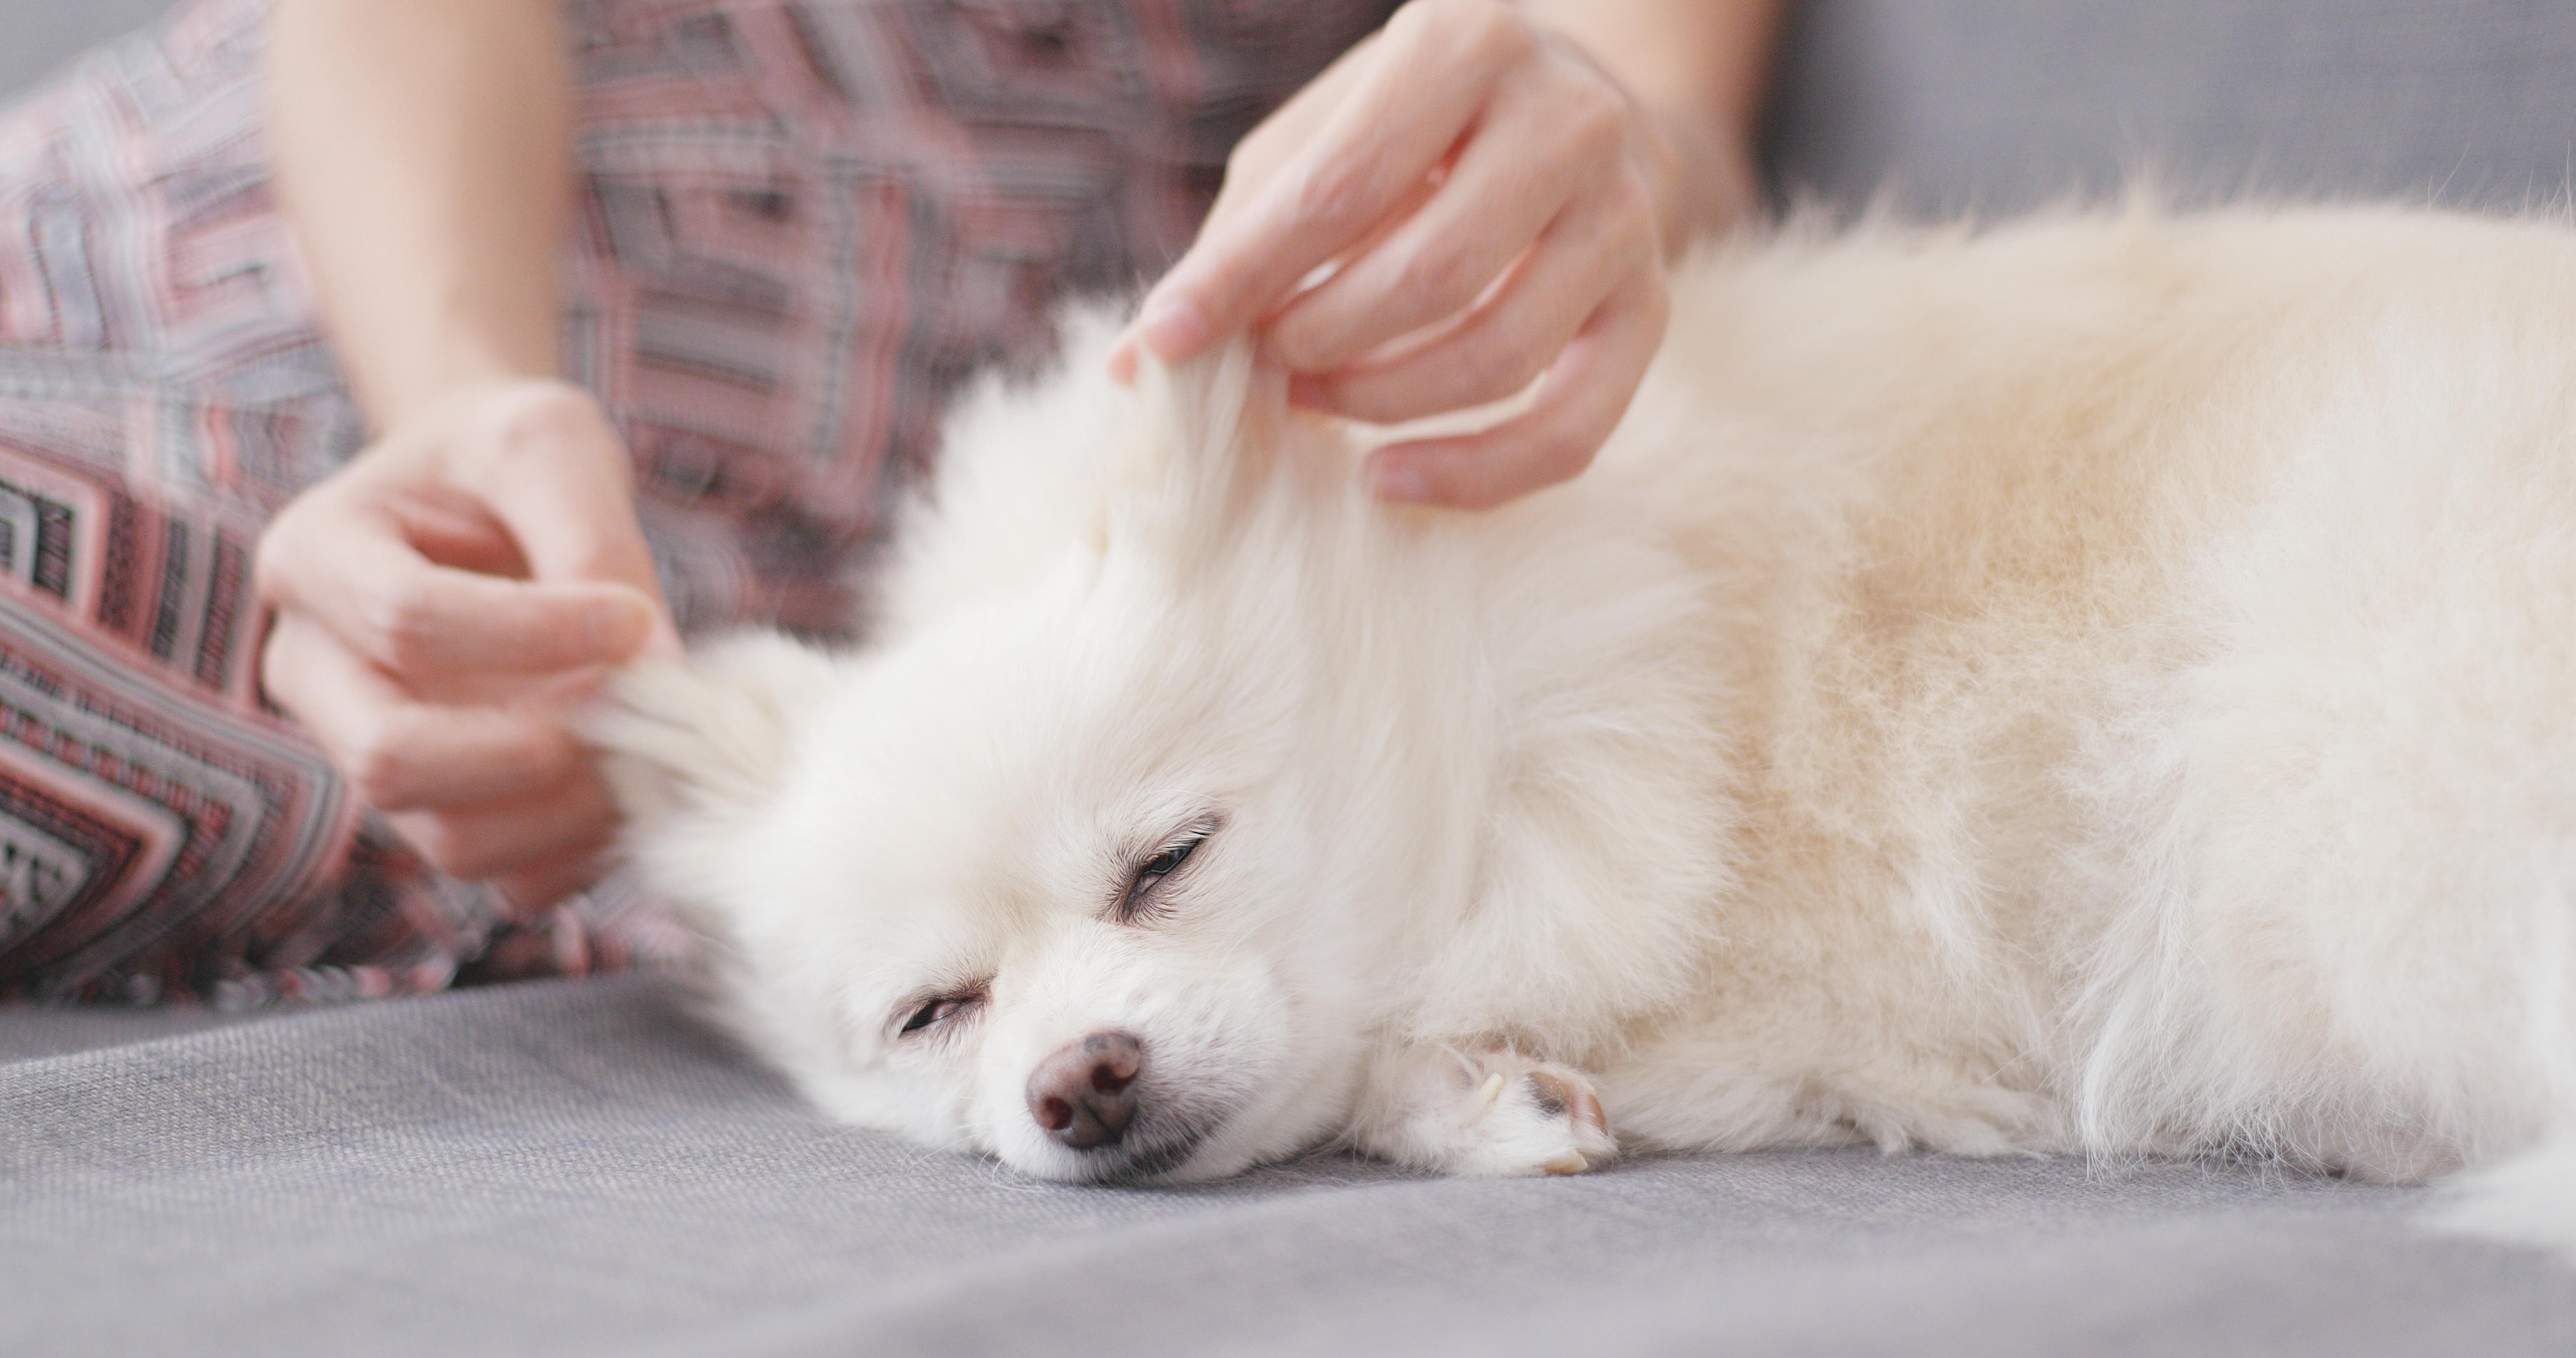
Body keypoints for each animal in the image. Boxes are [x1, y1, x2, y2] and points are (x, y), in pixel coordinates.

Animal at [584, 207, 2576, 1257]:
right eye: (937, 1014)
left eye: (1167, 862)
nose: (1078, 1079)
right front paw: (1485, 1096)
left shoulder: (1802, 993)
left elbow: (1391, 1051)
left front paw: (1464, 1089)